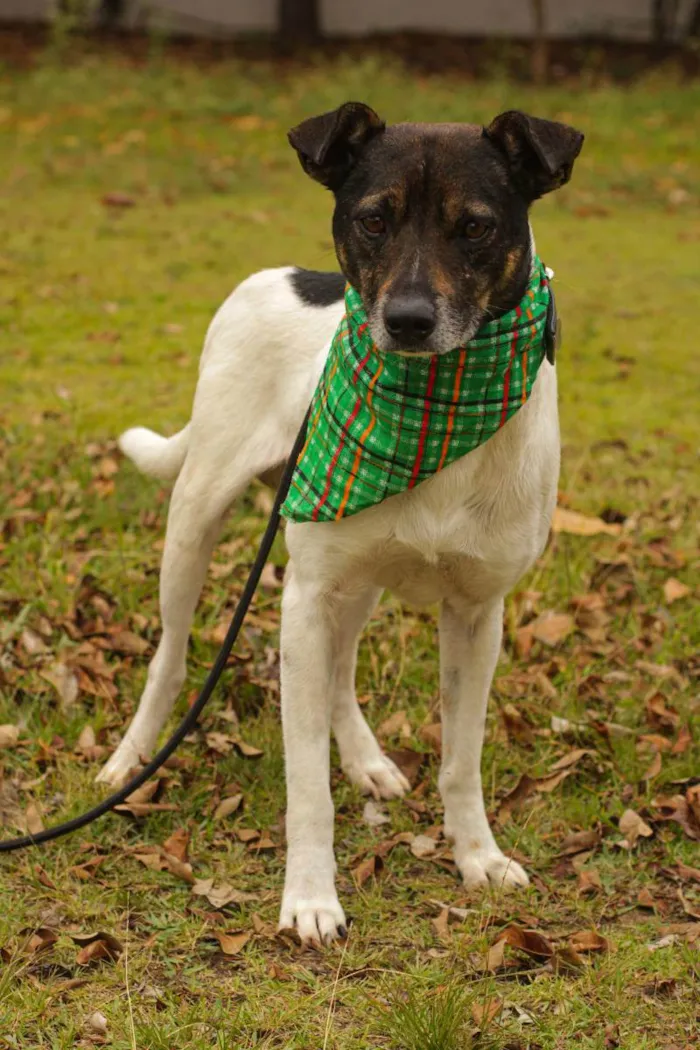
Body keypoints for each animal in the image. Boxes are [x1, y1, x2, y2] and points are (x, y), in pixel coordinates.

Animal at [97, 104, 579, 944]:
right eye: (373, 219)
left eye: (476, 227)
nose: (409, 321)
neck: (430, 407)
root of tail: (277, 277)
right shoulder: (304, 596)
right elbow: (305, 785)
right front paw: (311, 897)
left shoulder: (477, 612)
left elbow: (462, 759)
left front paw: (477, 856)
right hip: (198, 521)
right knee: (172, 657)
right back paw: (132, 758)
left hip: (356, 578)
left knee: (340, 667)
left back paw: (366, 759)